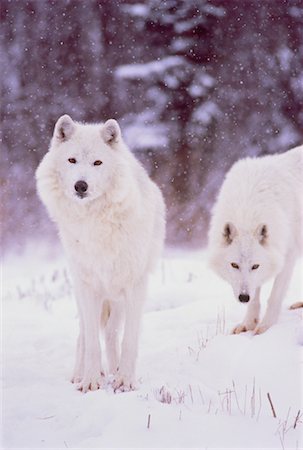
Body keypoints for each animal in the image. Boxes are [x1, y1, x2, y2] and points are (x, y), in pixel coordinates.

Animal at [35, 114, 166, 392]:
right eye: (72, 160)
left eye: (97, 162)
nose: (81, 185)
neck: (96, 223)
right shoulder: (88, 287)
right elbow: (92, 343)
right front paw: (90, 381)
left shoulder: (134, 287)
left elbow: (129, 341)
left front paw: (125, 381)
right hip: (83, 292)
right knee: (85, 335)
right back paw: (79, 374)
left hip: (117, 300)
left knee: (112, 333)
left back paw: (114, 371)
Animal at [209, 145, 303, 334]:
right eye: (234, 265)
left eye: (255, 266)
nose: (243, 297)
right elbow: (255, 296)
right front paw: (248, 323)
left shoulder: (287, 256)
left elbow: (274, 296)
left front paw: (266, 327)